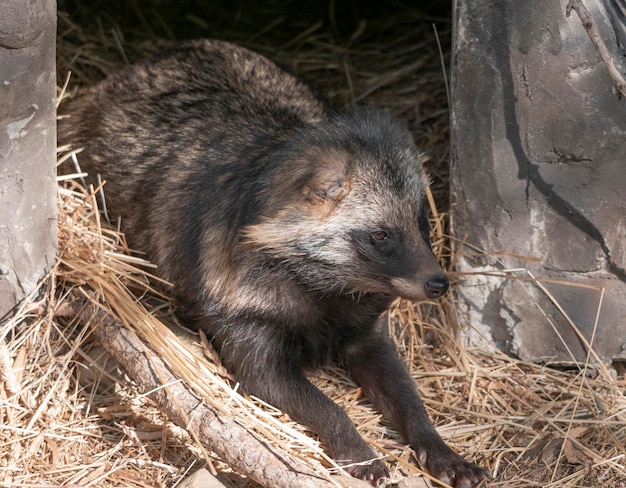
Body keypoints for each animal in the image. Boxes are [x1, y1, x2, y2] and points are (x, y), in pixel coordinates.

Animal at [58, 40, 486, 486]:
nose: (439, 284)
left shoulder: (367, 333)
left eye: (423, 221)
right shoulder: (248, 335)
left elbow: (411, 401)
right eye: (381, 235)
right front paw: (357, 450)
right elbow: (326, 406)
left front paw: (443, 451)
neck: (320, 291)